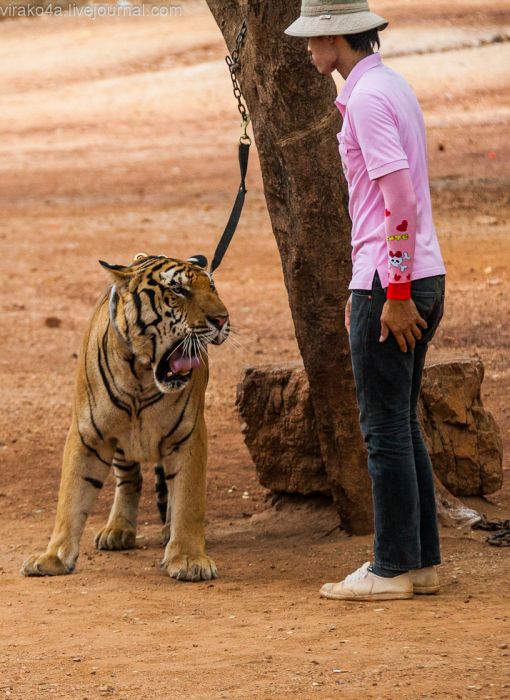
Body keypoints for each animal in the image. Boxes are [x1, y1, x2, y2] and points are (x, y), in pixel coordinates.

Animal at [21, 253, 229, 582]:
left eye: (212, 287)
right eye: (178, 290)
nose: (222, 319)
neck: (142, 374)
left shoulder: (188, 436)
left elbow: (188, 499)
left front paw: (188, 558)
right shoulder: (87, 435)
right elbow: (71, 497)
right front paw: (53, 557)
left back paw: (167, 531)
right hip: (121, 442)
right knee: (130, 478)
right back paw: (117, 529)